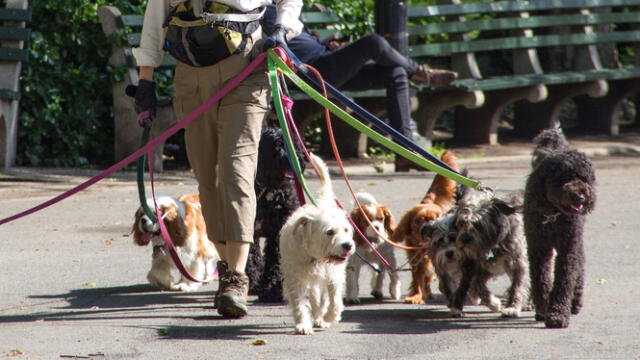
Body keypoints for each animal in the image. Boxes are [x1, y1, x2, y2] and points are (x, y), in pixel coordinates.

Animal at [245, 126, 304, 304]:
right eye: (277, 145)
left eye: (293, 143)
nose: (296, 158)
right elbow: (251, 256)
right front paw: (253, 281)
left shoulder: (279, 231)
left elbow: (275, 261)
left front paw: (272, 290)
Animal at [280, 153, 358, 336]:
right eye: (329, 232)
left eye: (346, 230)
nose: (348, 245)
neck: (315, 256)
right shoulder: (296, 278)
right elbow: (300, 302)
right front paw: (303, 324)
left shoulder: (333, 275)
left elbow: (334, 300)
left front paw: (329, 317)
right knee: (315, 297)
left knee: (322, 299)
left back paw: (321, 317)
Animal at [390, 150, 460, 306]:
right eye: (418, 221)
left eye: (436, 219)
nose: (427, 226)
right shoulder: (417, 261)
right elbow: (417, 280)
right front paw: (416, 296)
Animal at [524, 129, 596, 330]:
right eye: (564, 177)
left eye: (584, 178)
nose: (580, 196)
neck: (553, 214)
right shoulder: (538, 247)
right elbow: (539, 279)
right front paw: (543, 306)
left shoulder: (568, 248)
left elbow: (564, 280)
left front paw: (557, 314)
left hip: (576, 240)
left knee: (580, 262)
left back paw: (576, 301)